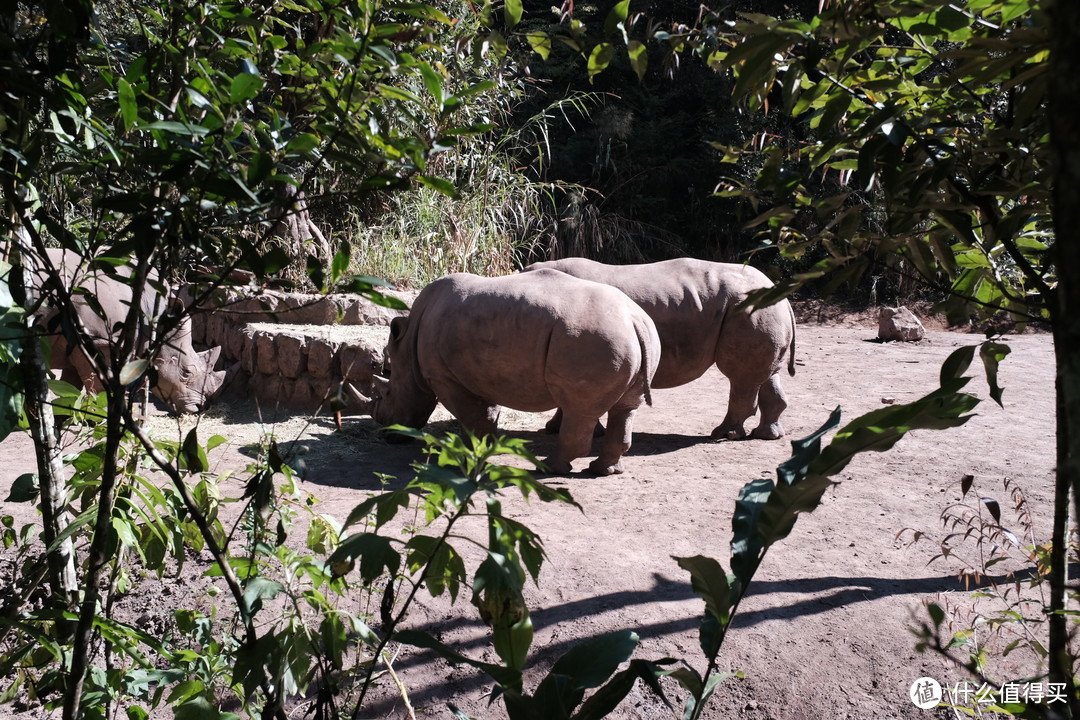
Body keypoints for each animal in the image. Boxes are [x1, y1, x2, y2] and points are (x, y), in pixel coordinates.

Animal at [36, 249, 227, 414]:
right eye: (186, 372)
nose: (199, 408)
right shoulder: (98, 340)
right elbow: (98, 385)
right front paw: (100, 419)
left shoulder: (78, 343)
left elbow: (71, 386)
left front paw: (65, 416)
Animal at [349, 269, 660, 479]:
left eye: (388, 393)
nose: (387, 436)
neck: (408, 347)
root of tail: (634, 320)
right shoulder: (481, 370)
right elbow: (486, 412)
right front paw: (484, 446)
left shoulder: (443, 377)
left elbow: (470, 416)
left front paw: (469, 454)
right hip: (635, 336)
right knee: (625, 408)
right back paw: (604, 471)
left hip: (590, 339)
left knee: (579, 410)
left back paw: (548, 468)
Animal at [522, 259, 794, 440]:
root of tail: (781, 294)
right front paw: (553, 429)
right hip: (761, 311)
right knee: (765, 374)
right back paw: (767, 435)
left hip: (749, 310)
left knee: (741, 378)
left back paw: (723, 434)